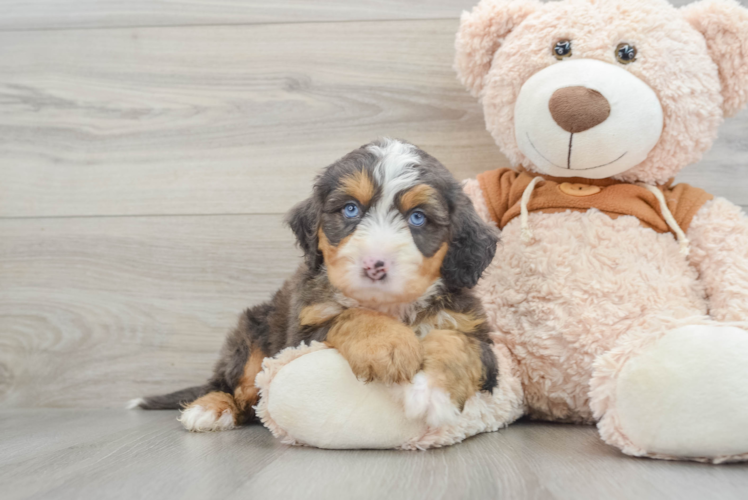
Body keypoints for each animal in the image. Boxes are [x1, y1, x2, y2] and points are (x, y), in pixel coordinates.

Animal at [131, 139, 500, 432]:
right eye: (350, 209)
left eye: (418, 218)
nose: (374, 264)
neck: (390, 306)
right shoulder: (303, 331)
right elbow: (352, 316)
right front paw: (388, 345)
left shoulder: (476, 333)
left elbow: (457, 344)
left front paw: (433, 395)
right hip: (251, 332)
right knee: (235, 386)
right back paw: (210, 408)